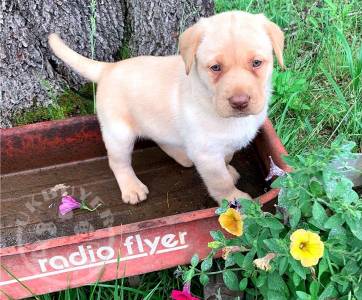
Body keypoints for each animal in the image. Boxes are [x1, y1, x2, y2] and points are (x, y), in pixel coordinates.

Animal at [49, 10, 284, 205]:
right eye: (215, 68)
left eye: (256, 63)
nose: (240, 102)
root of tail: (108, 68)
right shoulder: (207, 154)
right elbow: (220, 181)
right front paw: (234, 198)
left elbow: (227, 157)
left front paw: (228, 169)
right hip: (119, 133)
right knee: (117, 162)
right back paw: (132, 188)